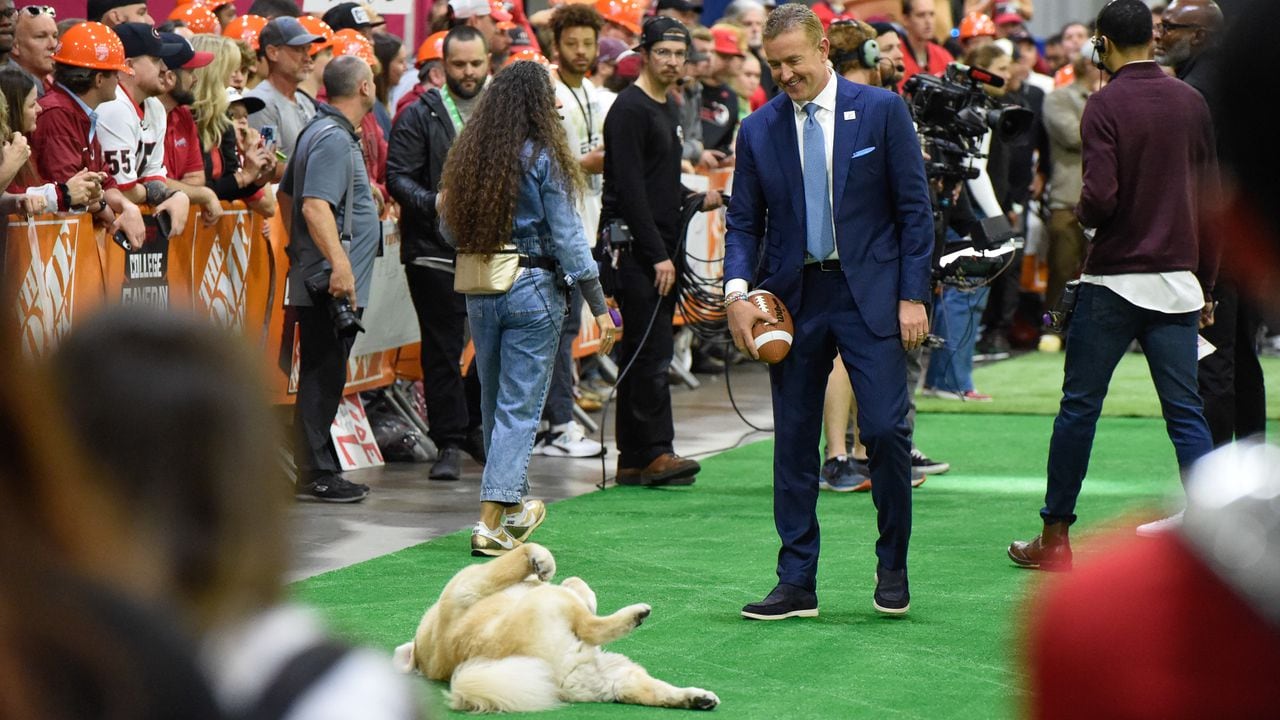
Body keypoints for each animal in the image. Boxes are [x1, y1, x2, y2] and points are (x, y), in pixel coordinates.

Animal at [394, 540, 721, 707]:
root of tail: (557, 678)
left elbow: (578, 584)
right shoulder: (469, 583)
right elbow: (525, 553)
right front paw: (542, 561)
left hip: (617, 672)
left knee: (651, 692)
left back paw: (695, 698)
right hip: (552, 604)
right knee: (592, 627)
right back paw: (635, 615)